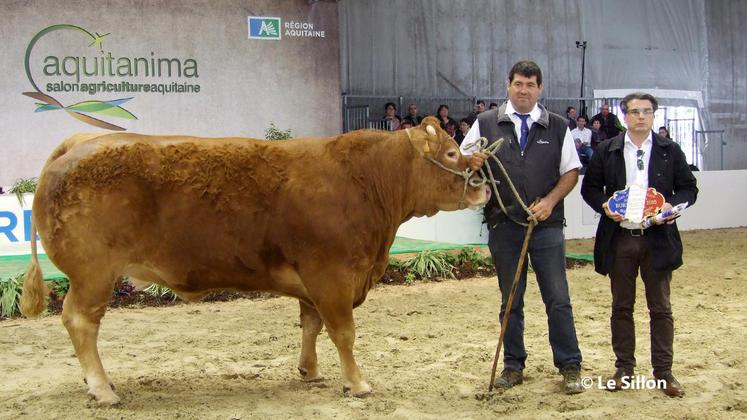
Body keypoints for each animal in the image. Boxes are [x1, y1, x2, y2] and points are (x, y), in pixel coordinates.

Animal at [19, 116, 490, 406]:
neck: (367, 180)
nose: (484, 185)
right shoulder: (334, 275)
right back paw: (102, 389)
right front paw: (357, 383)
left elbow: (310, 324)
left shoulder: (313, 281)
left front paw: (309, 371)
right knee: (81, 322)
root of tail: (79, 143)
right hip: (94, 274)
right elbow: (343, 332)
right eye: (452, 153)